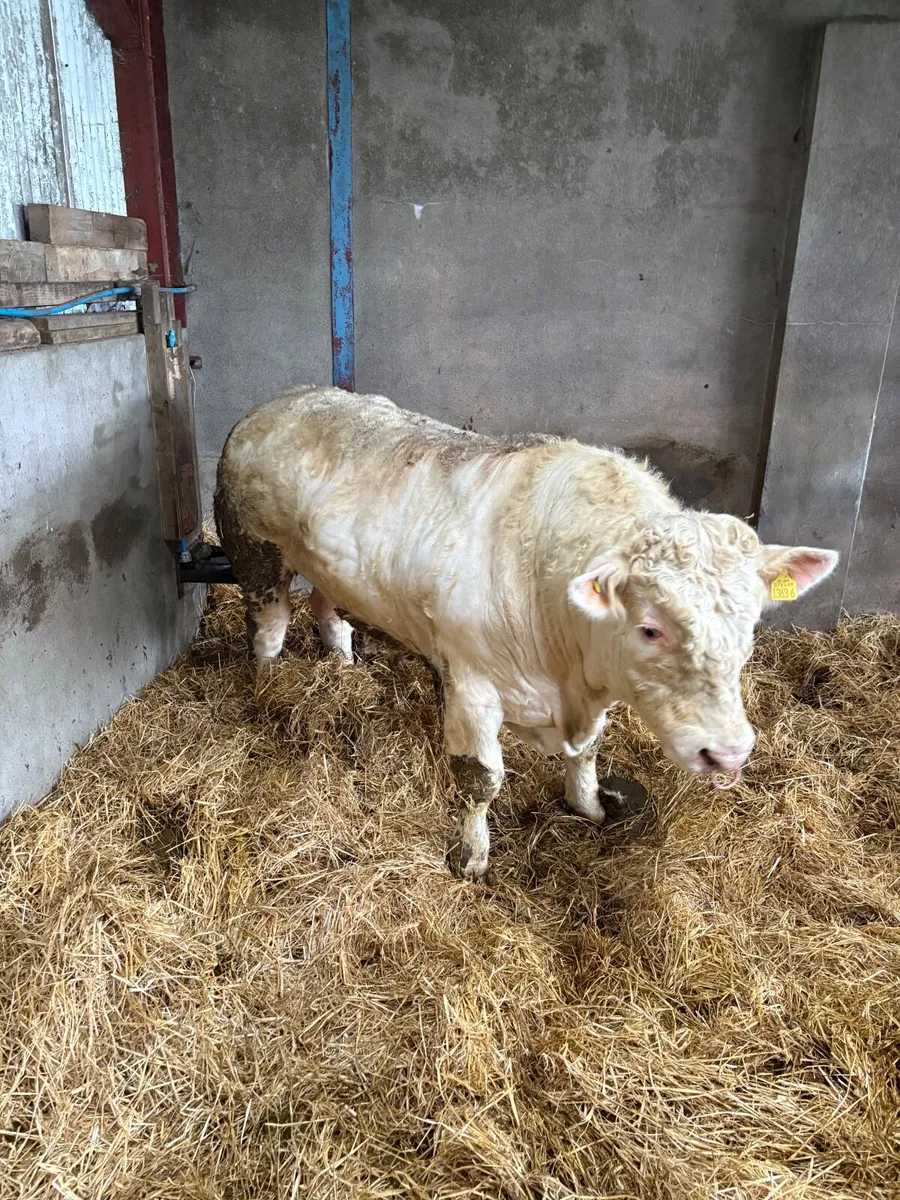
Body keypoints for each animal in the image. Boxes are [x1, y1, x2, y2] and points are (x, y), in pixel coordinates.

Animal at [214, 386, 838, 880]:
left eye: (751, 624)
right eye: (650, 629)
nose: (727, 753)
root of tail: (281, 401)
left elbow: (587, 753)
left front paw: (589, 806)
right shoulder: (471, 685)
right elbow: (482, 780)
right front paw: (471, 859)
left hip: (324, 567)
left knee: (327, 607)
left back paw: (342, 662)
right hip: (255, 554)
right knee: (269, 631)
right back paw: (269, 688)